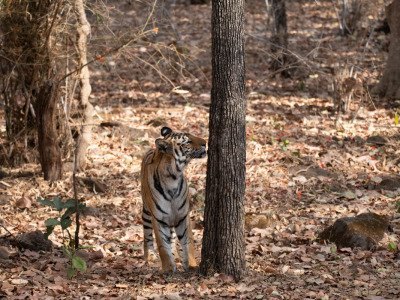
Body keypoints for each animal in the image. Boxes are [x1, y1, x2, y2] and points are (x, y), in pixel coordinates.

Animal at [140, 125, 206, 274]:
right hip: (146, 212)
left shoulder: (183, 216)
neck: (173, 177)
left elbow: (188, 242)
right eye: (188, 141)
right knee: (147, 236)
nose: (205, 142)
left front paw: (191, 264)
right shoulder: (158, 219)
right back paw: (150, 257)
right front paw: (168, 268)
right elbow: (162, 245)